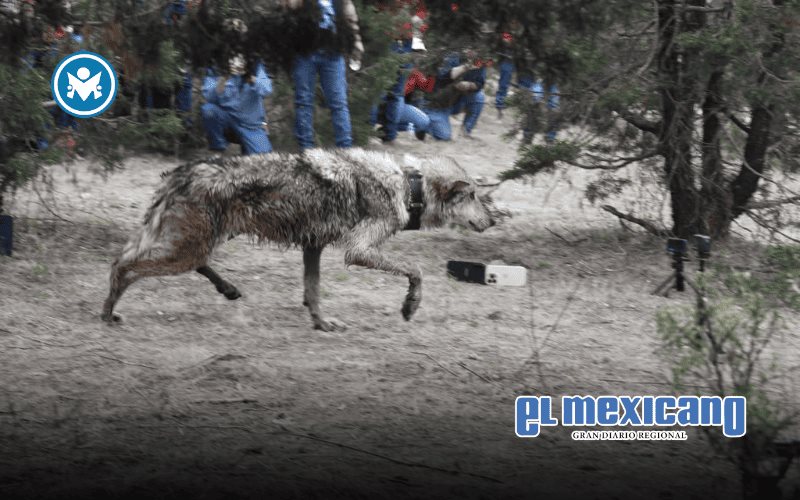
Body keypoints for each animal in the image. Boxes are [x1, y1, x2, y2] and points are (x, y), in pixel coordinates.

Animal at [101, 148, 496, 331]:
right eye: (474, 196)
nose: (493, 220)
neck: (407, 185)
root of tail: (182, 172)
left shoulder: (313, 246)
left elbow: (313, 291)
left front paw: (321, 324)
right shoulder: (357, 250)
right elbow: (416, 271)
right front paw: (410, 306)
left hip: (195, 244)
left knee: (145, 261)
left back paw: (229, 289)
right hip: (185, 250)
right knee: (123, 267)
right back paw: (108, 314)